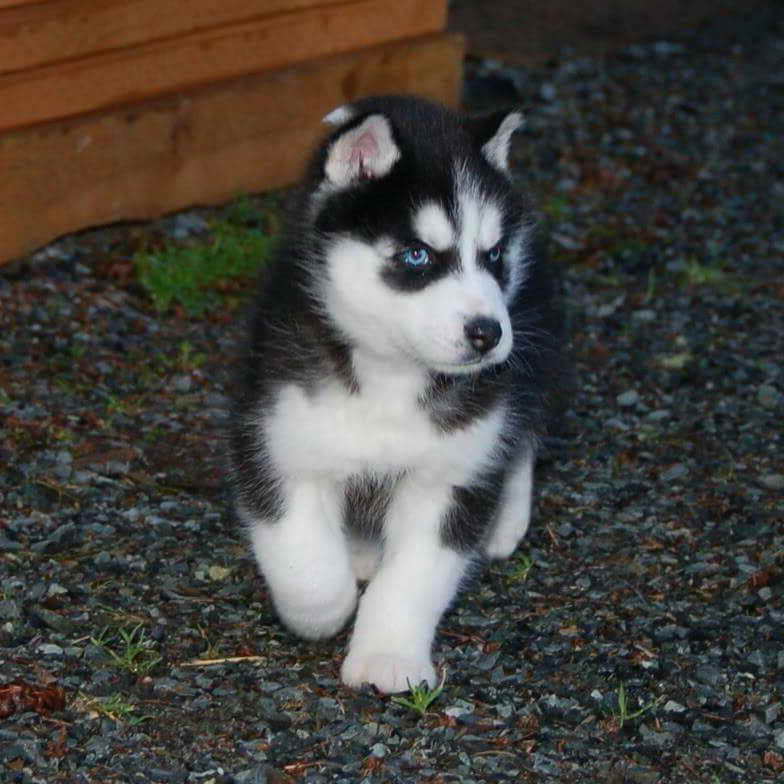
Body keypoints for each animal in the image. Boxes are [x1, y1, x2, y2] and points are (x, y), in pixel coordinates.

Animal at [230, 96, 560, 692]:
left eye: (494, 255)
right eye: (416, 255)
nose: (487, 332)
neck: (392, 375)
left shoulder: (450, 480)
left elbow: (414, 578)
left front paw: (388, 658)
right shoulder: (275, 438)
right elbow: (300, 554)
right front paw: (323, 610)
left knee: (522, 435)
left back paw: (506, 520)